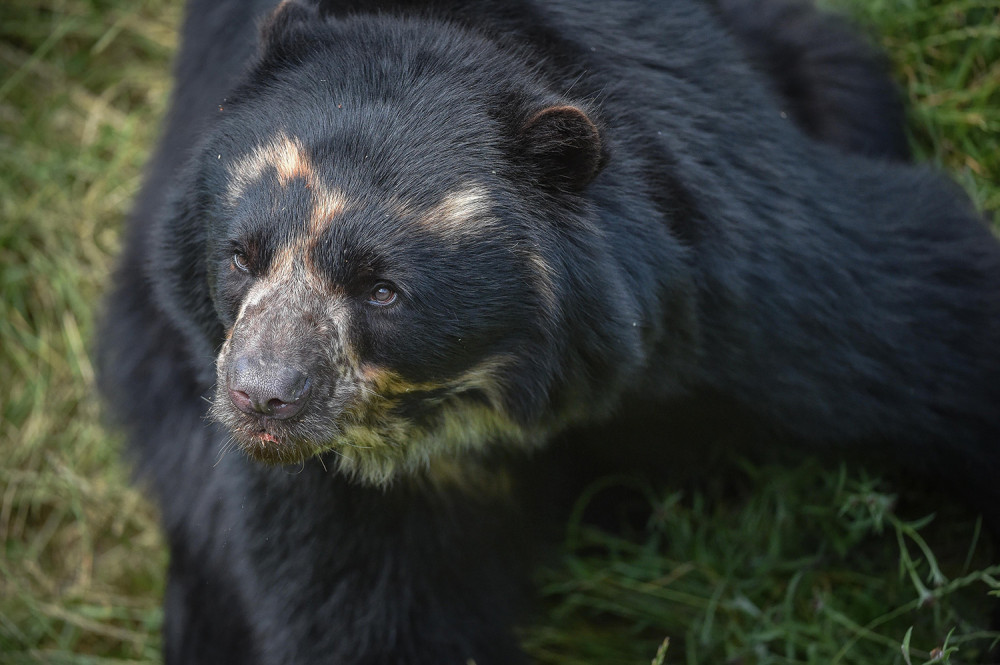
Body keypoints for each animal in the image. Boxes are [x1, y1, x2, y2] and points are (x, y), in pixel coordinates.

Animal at [97, 0, 1000, 663]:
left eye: (383, 289)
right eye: (241, 257)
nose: (262, 397)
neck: (488, 389)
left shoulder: (728, 268)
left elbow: (917, 314)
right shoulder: (347, 488)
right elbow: (361, 599)